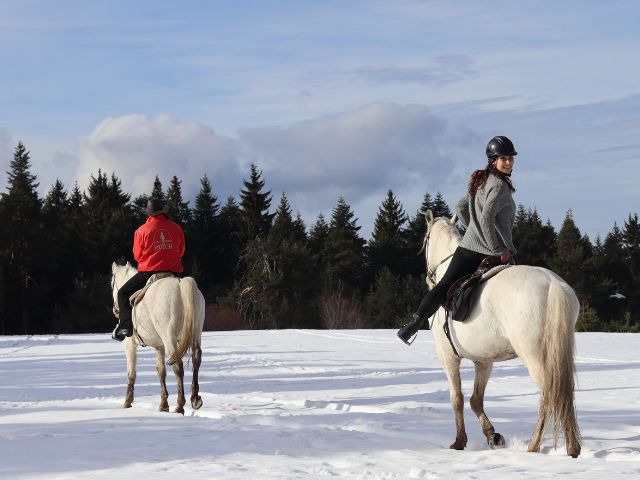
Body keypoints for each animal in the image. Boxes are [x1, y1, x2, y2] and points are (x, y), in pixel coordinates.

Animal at [110, 262, 205, 412]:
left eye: (112, 283)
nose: (115, 309)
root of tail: (180, 283)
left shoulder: (129, 345)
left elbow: (131, 373)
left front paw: (127, 402)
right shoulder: (159, 346)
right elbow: (161, 371)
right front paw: (163, 405)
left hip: (169, 337)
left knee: (178, 365)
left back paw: (180, 405)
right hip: (196, 333)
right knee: (196, 359)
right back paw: (195, 398)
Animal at [420, 211, 580, 458]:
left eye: (424, 241)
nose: (427, 277)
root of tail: (554, 285)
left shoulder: (448, 356)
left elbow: (457, 399)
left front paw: (459, 441)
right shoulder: (484, 361)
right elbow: (476, 400)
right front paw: (492, 435)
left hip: (534, 356)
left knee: (548, 393)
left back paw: (535, 444)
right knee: (562, 394)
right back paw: (572, 447)